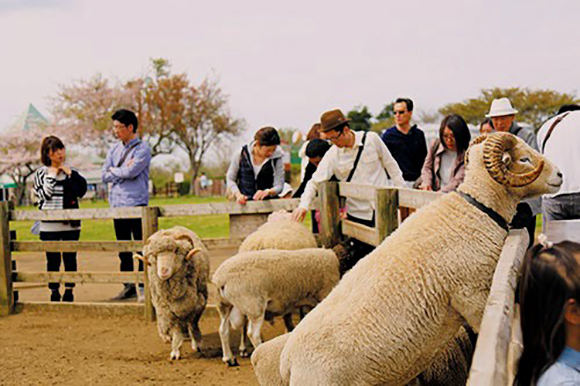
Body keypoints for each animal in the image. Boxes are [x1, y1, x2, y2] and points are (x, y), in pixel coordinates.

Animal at [137, 225, 210, 360]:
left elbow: (193, 323)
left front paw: (197, 343)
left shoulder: (198, 302)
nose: (163, 271)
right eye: (154, 255)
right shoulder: (167, 308)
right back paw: (166, 336)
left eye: (176, 251)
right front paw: (175, 350)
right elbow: (176, 329)